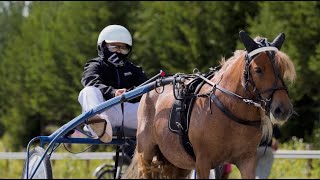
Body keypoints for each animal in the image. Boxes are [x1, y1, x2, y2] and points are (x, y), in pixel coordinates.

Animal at [122, 31, 296, 179]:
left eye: (281, 69)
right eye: (258, 70)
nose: (283, 109)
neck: (229, 112)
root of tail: (152, 87)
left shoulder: (247, 160)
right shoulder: (203, 162)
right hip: (146, 153)